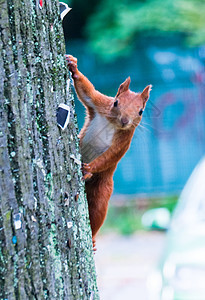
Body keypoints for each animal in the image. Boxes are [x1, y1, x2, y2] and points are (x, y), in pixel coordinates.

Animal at [66, 54, 151, 248]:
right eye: (116, 102)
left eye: (141, 111)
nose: (125, 121)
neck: (113, 123)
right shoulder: (99, 104)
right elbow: (87, 92)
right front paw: (73, 66)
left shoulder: (124, 141)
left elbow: (110, 156)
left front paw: (89, 168)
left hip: (102, 190)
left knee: (97, 212)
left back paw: (92, 240)